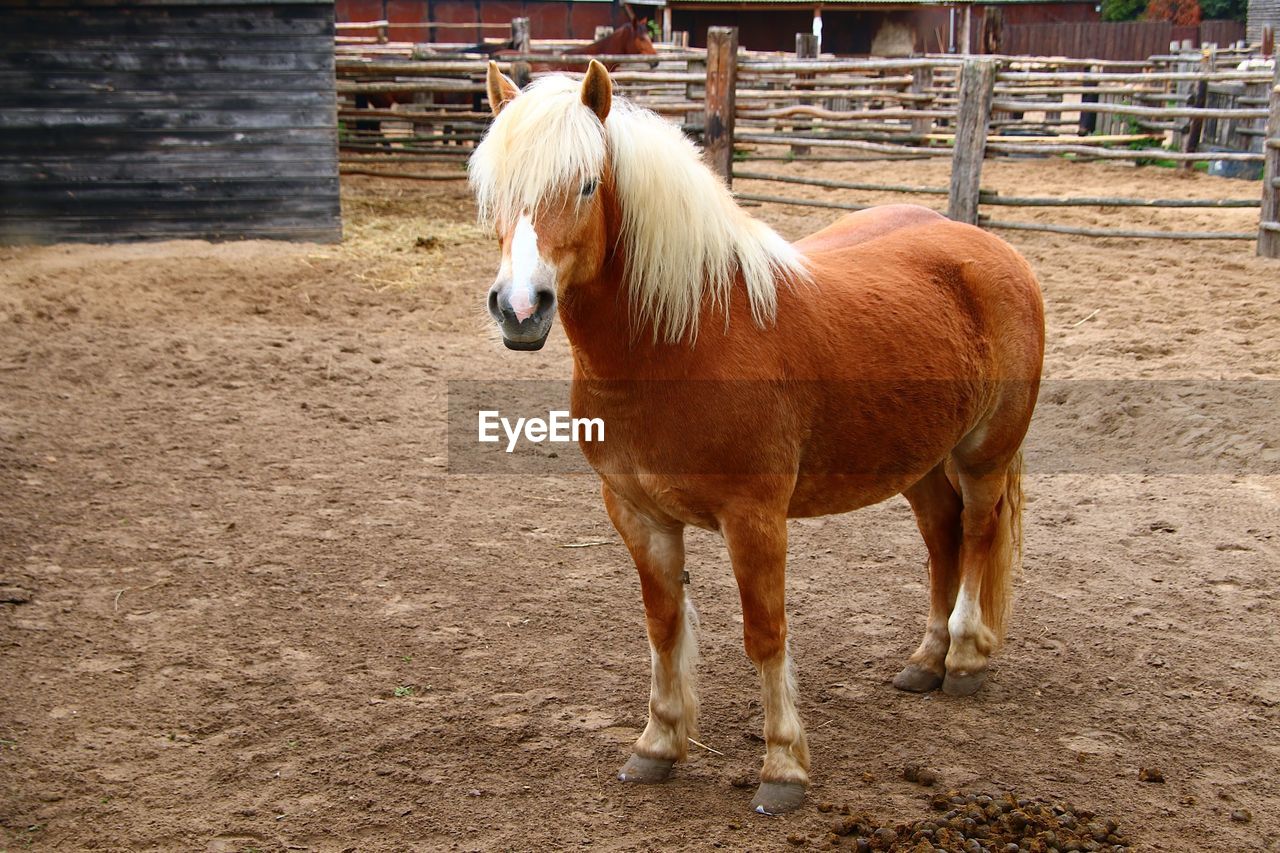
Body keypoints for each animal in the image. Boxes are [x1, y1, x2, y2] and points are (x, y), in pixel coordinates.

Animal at [465, 63, 1044, 814]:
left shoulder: (756, 519)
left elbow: (765, 634)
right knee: (943, 539)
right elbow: (664, 625)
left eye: (587, 184)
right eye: (492, 191)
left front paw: (783, 766)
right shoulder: (638, 515)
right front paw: (658, 744)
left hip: (981, 455)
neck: (683, 338)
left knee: (976, 533)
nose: (519, 308)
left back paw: (968, 656)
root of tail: (989, 248)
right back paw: (926, 660)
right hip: (918, 464)